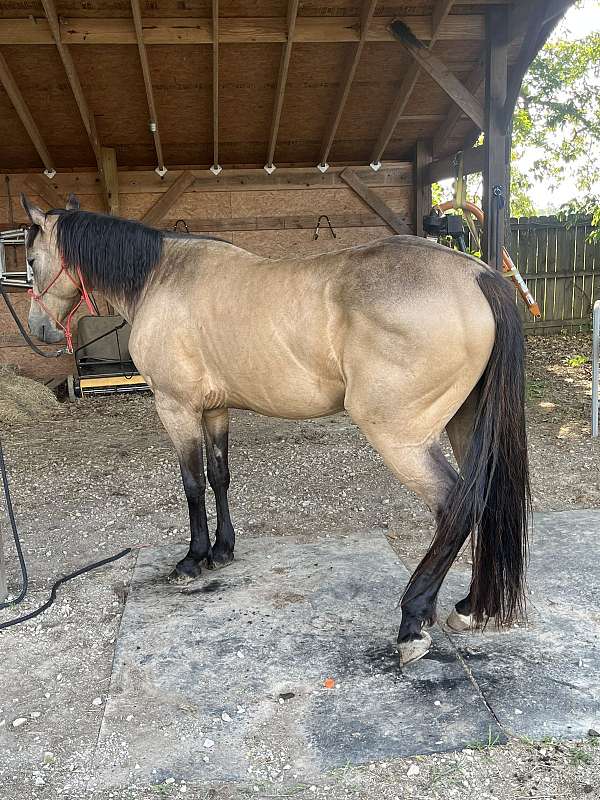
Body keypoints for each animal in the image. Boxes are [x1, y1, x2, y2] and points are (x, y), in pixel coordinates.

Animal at [21, 197, 528, 664]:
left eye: (29, 261)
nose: (40, 329)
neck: (161, 278)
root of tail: (476, 275)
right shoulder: (215, 409)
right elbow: (218, 477)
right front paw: (222, 550)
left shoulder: (176, 407)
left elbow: (191, 484)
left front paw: (192, 559)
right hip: (466, 426)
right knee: (481, 498)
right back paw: (469, 607)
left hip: (401, 438)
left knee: (454, 505)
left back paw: (413, 621)